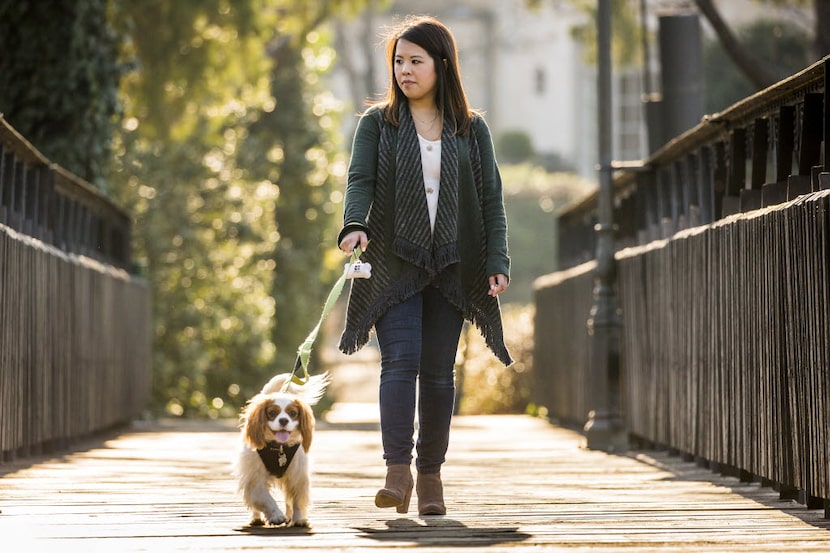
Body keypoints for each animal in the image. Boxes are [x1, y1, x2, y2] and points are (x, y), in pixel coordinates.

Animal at [236, 370, 330, 528]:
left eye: (293, 413)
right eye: (272, 413)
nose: (284, 420)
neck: (278, 447)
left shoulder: (297, 476)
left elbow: (297, 501)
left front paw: (299, 519)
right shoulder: (255, 479)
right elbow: (266, 499)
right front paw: (277, 516)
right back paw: (256, 518)